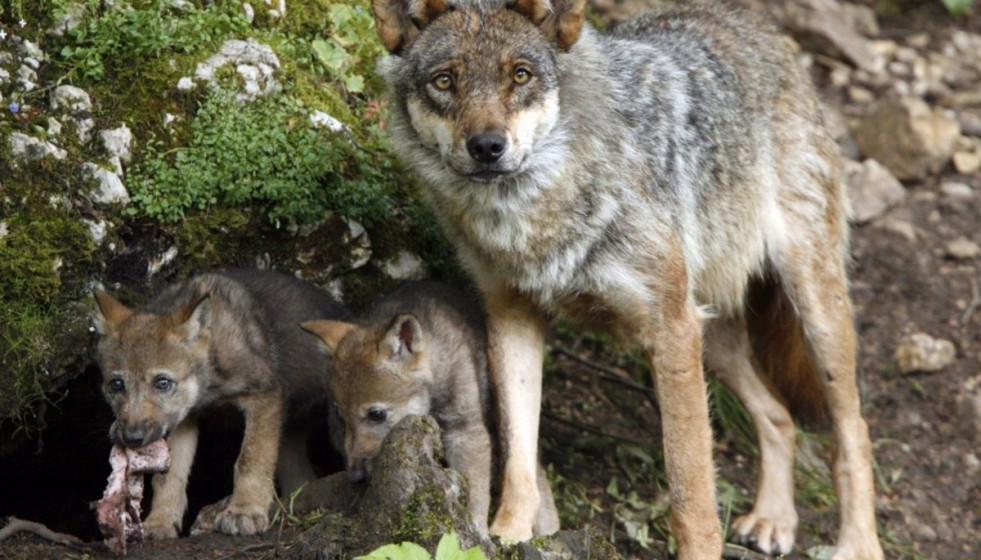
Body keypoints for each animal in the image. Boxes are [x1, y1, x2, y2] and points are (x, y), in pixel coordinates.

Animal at [92, 269, 351, 538]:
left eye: (162, 383)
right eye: (116, 385)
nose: (132, 437)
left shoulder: (264, 395)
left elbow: (250, 459)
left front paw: (245, 512)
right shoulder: (182, 419)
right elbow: (169, 476)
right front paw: (160, 521)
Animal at [302, 281, 560, 535]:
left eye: (376, 415)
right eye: (341, 416)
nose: (355, 477)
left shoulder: (466, 430)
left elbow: (474, 490)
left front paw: (476, 531)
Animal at [369, 1, 884, 559]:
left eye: (520, 75)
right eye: (445, 81)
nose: (487, 146)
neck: (534, 218)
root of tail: (757, 24)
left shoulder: (671, 330)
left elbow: (689, 487)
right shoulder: (511, 314)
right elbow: (519, 452)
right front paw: (508, 532)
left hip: (810, 312)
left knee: (853, 431)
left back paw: (858, 544)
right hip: (713, 338)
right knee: (779, 416)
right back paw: (774, 519)